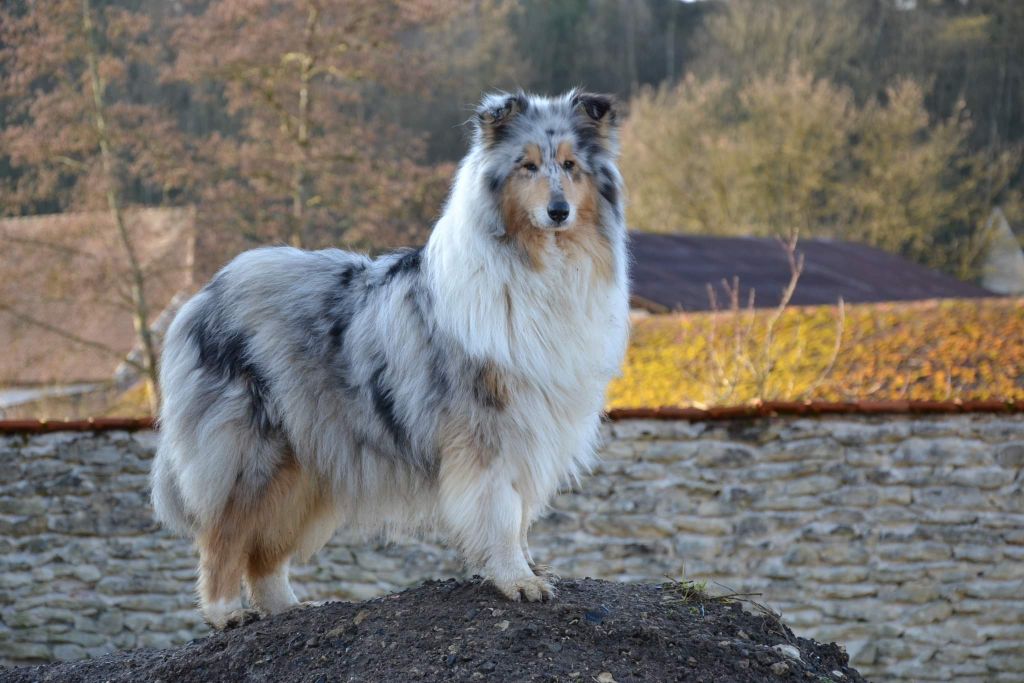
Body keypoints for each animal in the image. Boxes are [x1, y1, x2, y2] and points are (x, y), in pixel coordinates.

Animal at [151, 90, 630, 630]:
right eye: (527, 166)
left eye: (570, 165)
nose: (558, 211)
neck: (541, 265)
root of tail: (203, 295)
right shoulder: (485, 430)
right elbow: (501, 511)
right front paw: (517, 580)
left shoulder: (532, 428)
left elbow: (521, 512)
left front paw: (527, 567)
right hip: (249, 452)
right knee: (223, 534)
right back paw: (225, 613)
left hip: (308, 460)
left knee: (265, 551)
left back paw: (290, 609)